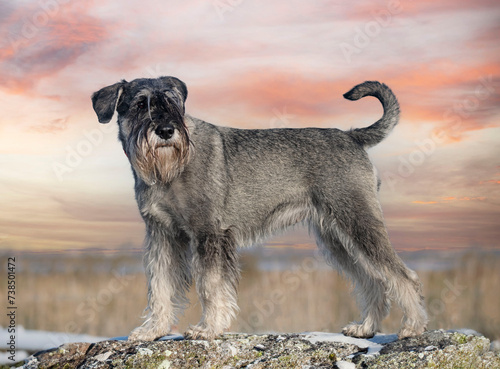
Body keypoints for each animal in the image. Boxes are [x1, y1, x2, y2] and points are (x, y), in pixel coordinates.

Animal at [93, 76, 426, 340]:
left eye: (175, 105)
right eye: (140, 105)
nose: (165, 130)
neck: (169, 170)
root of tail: (351, 136)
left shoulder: (209, 233)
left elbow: (210, 286)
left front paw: (207, 328)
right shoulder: (162, 235)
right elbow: (159, 286)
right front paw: (152, 330)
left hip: (358, 221)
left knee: (401, 275)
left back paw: (412, 326)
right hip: (338, 237)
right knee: (373, 280)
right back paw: (365, 327)